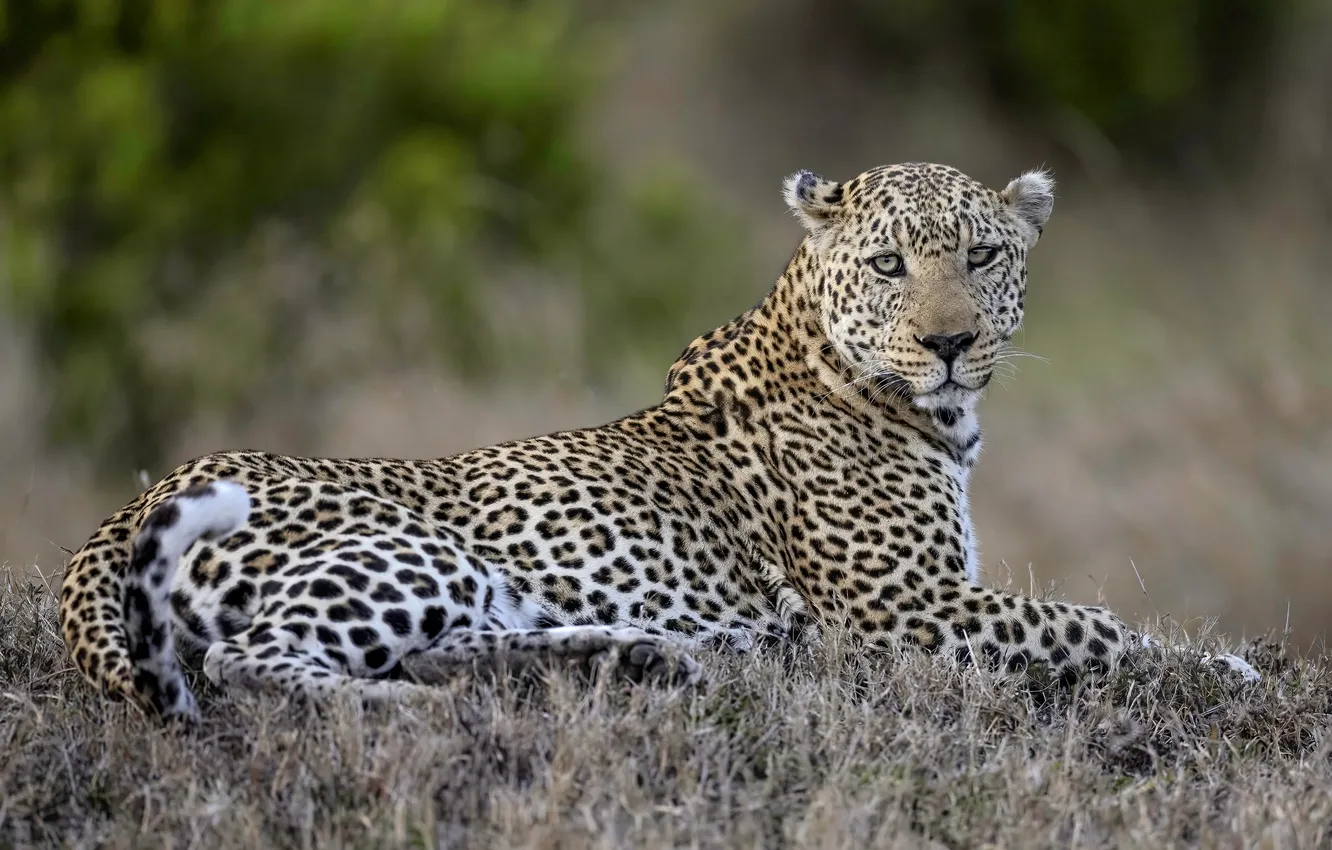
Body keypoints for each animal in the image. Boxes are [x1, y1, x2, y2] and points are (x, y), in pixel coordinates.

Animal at [58, 161, 1257, 722]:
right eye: (888, 265)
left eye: (983, 254)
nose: (951, 342)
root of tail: (124, 510)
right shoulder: (902, 607)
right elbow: (1092, 626)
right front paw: (1225, 666)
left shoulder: (925, 599)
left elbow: (1085, 623)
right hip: (410, 549)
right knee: (252, 659)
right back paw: (413, 707)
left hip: (475, 585)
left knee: (457, 644)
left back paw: (648, 654)